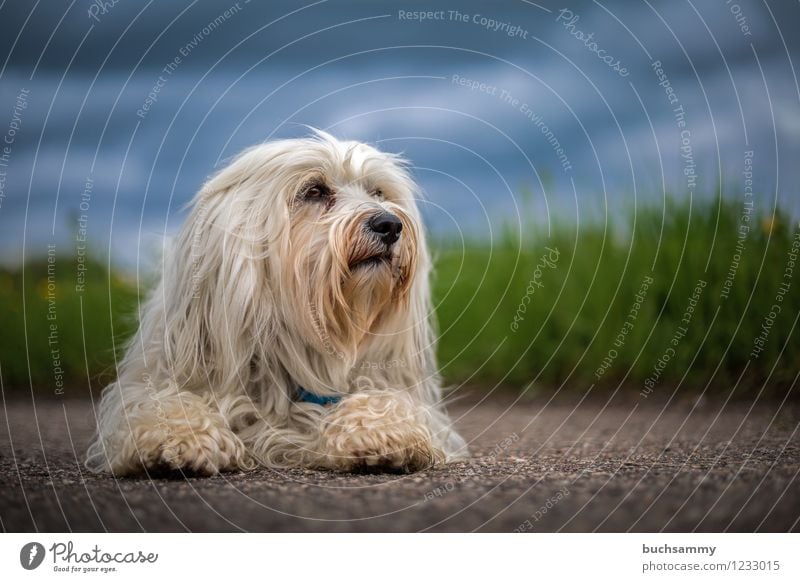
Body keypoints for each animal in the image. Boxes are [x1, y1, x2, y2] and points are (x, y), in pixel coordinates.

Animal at [86, 133, 466, 480]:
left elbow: (385, 400)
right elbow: (164, 402)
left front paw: (380, 431)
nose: (389, 224)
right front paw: (178, 438)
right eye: (314, 191)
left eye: (378, 193)